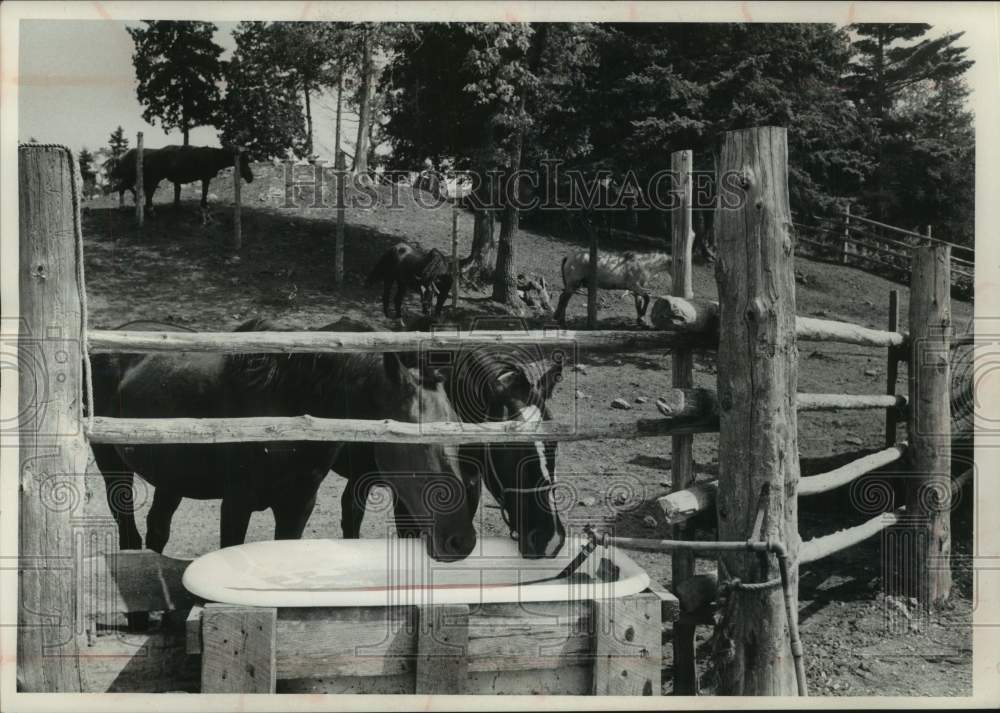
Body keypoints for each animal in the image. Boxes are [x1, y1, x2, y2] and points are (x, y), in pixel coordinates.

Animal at [87, 318, 476, 560]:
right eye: (413, 442)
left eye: (460, 437)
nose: (460, 540)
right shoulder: (237, 503)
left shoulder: (297, 506)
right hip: (112, 468)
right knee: (130, 535)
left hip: (172, 477)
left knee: (156, 531)